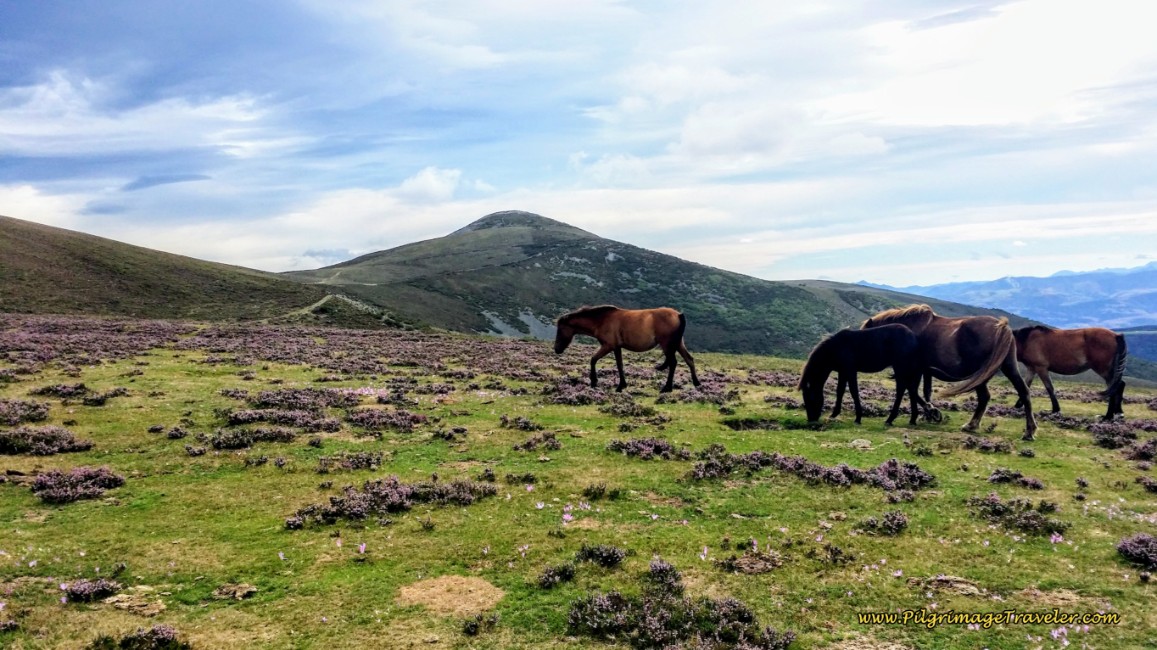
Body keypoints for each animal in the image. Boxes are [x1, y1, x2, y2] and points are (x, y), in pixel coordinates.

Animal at [554, 305, 701, 393]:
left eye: (560, 329)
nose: (556, 349)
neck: (602, 320)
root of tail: (678, 314)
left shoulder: (608, 346)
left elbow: (593, 360)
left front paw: (594, 382)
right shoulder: (616, 347)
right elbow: (620, 365)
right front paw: (621, 386)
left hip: (667, 345)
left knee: (673, 363)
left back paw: (667, 388)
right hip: (678, 344)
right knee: (689, 360)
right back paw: (696, 383)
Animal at [862, 304, 1038, 440]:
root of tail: (1002, 327)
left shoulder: (912, 369)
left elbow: (911, 390)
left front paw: (930, 412)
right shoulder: (924, 370)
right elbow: (924, 392)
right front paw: (929, 413)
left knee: (985, 397)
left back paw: (972, 425)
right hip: (1008, 367)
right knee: (1022, 392)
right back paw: (1028, 431)